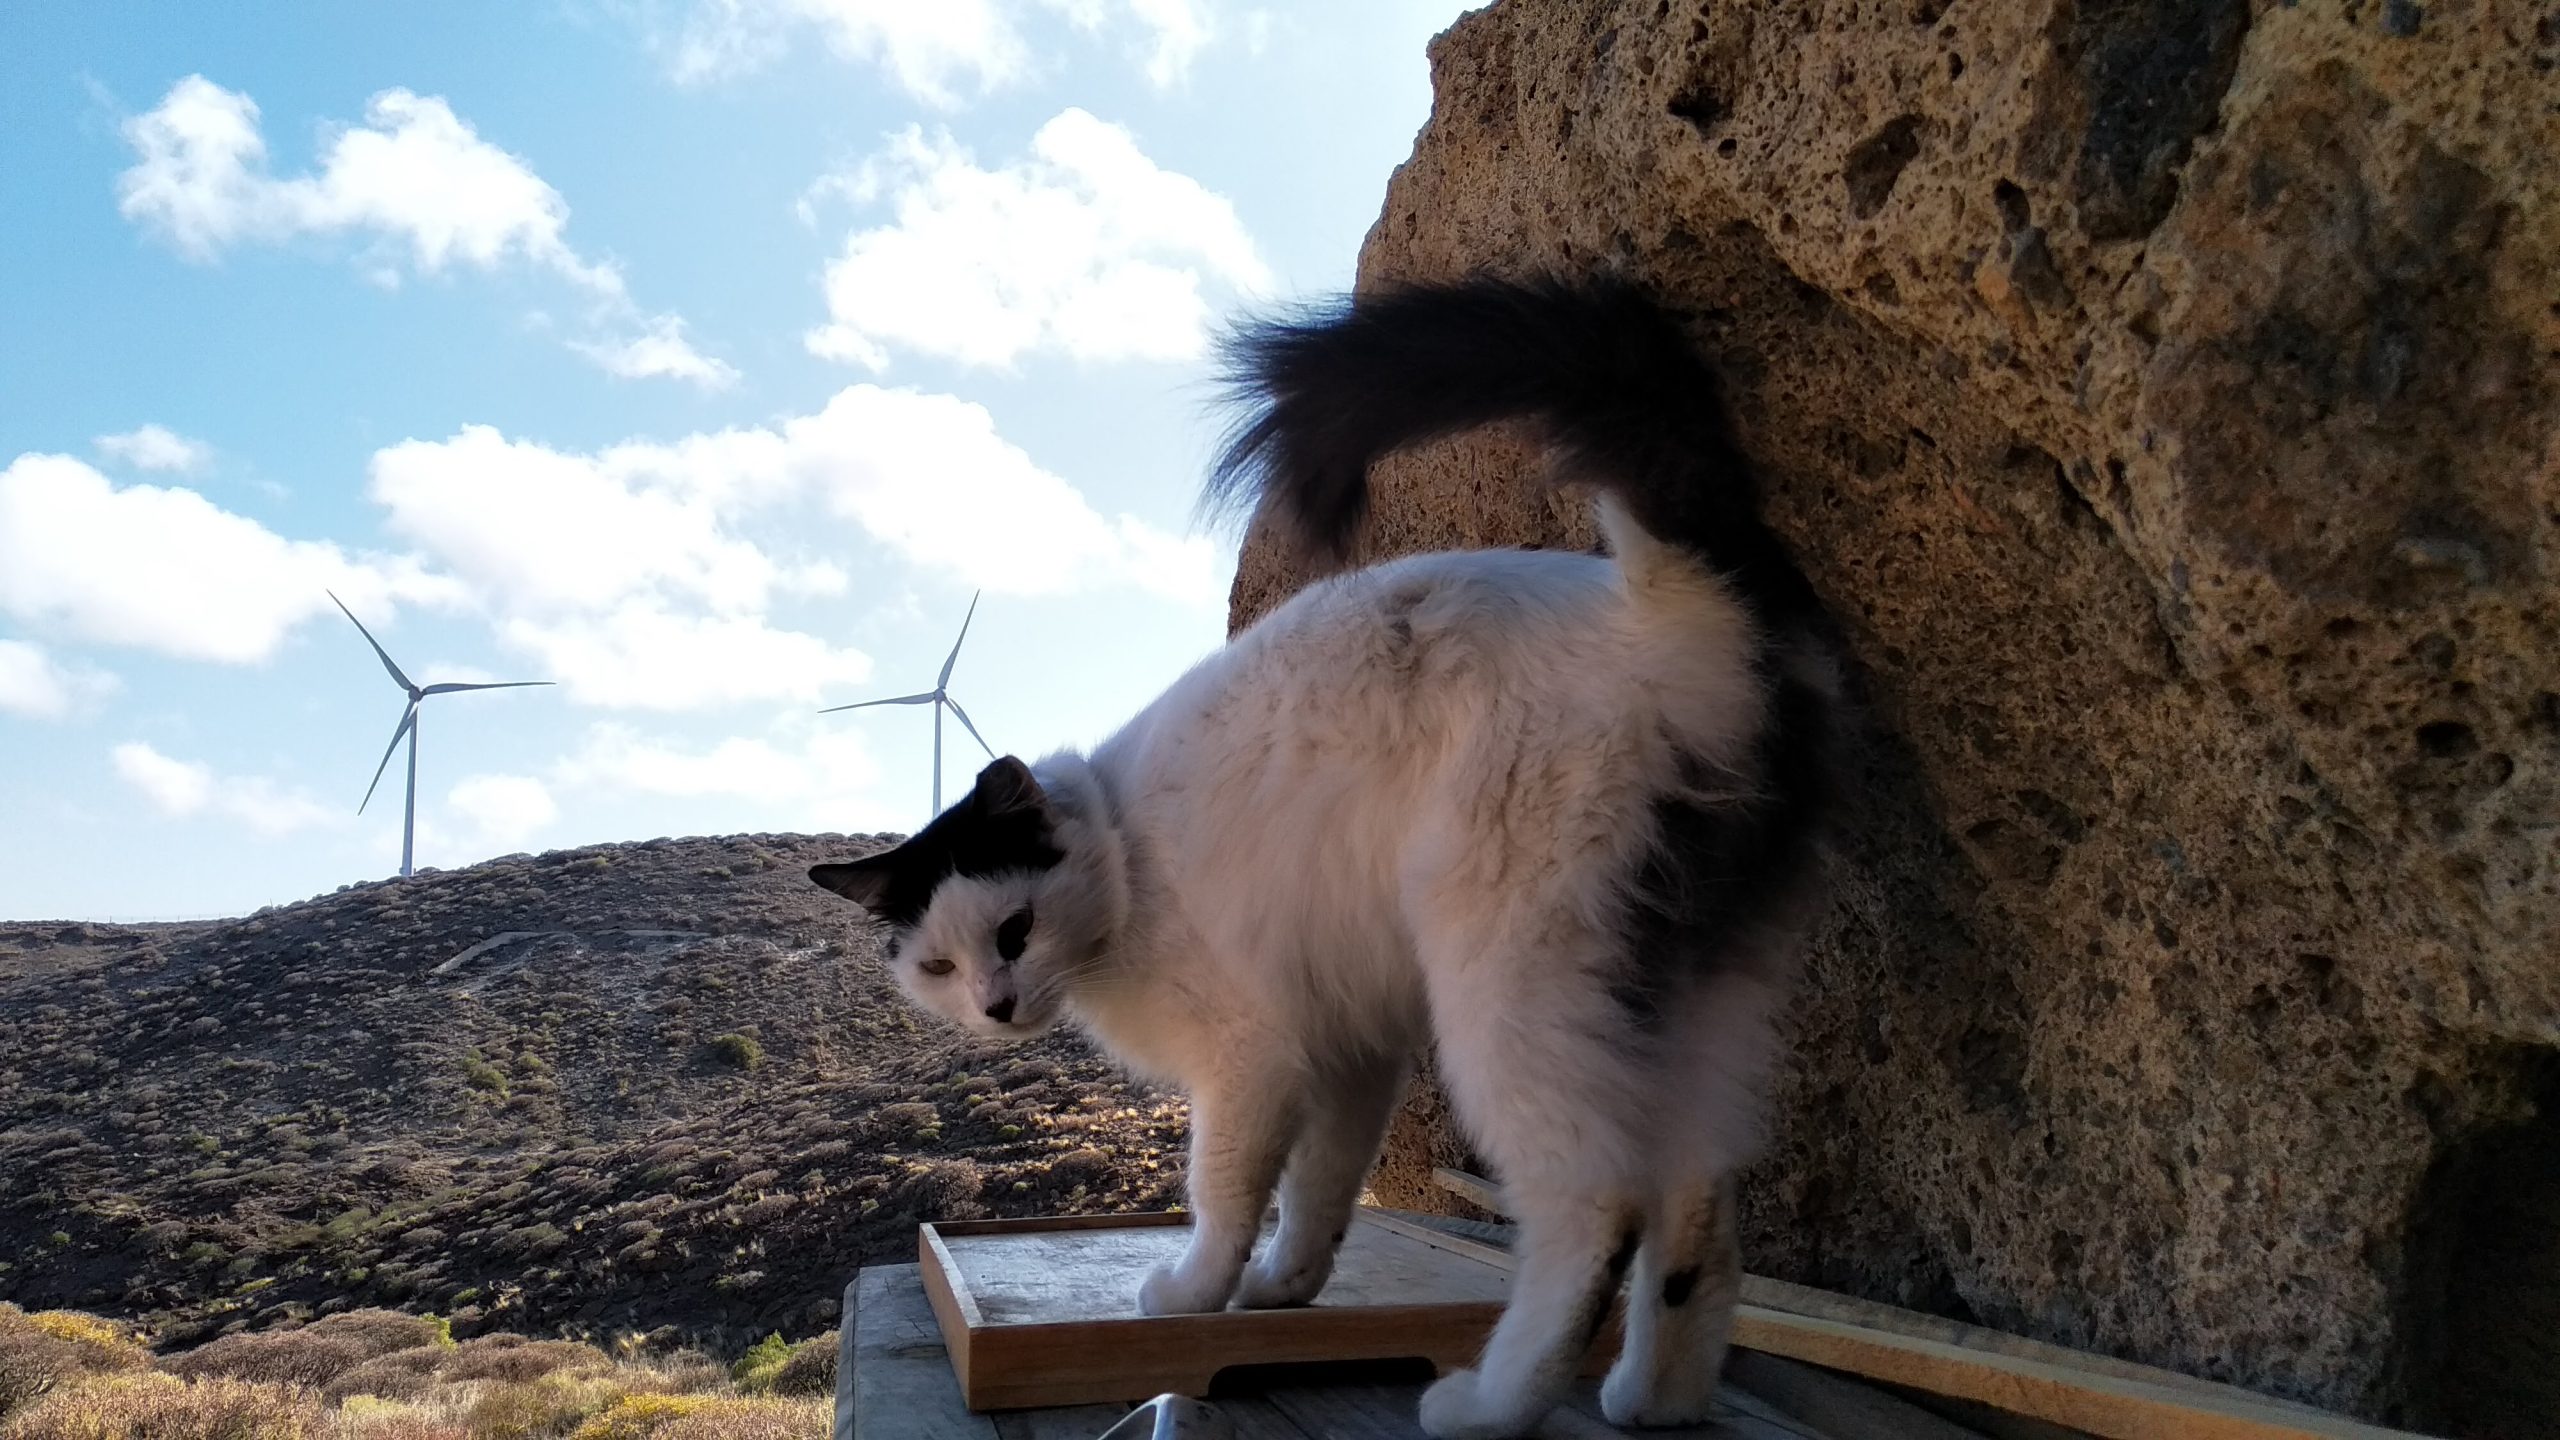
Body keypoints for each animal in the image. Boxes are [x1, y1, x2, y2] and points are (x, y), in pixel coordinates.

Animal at [810, 275, 1842, 1439]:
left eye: (1013, 929)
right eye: (936, 967)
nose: (993, 1006)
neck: (1122, 853)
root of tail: (1667, 607)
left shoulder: (1249, 1058)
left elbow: (1220, 1192)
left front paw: (1194, 1295)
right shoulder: (1347, 1046)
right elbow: (1319, 1191)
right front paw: (1282, 1288)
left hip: (1514, 988)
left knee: (1598, 1200)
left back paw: (1493, 1402)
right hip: (1698, 991)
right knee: (1698, 1206)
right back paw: (1654, 1399)